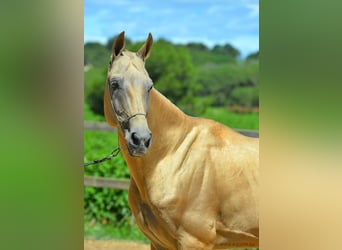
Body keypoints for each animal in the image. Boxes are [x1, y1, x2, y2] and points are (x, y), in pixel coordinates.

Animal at [104, 31, 260, 250]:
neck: (173, 156)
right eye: (114, 83)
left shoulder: (194, 241)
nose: (141, 139)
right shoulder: (158, 243)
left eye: (149, 86)